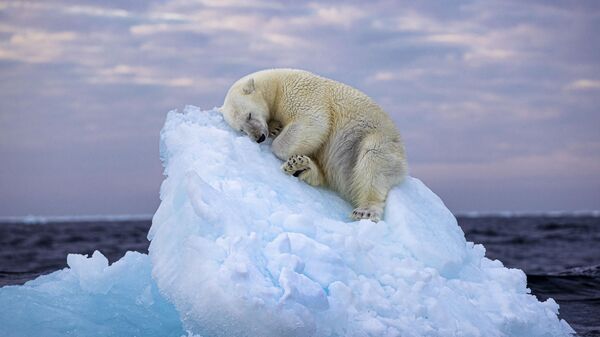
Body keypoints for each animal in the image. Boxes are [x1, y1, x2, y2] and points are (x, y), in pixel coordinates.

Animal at [220, 68, 408, 220]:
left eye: (249, 115)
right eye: (241, 129)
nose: (259, 137)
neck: (276, 84)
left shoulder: (299, 92)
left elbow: (313, 121)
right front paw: (275, 128)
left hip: (376, 138)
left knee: (373, 160)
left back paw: (365, 210)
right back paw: (300, 166)